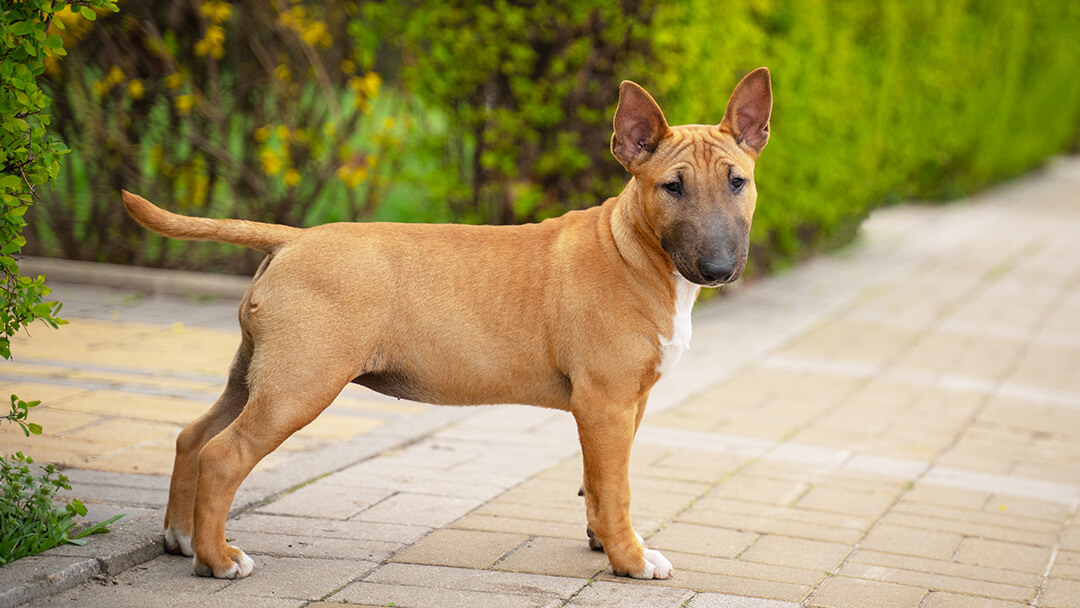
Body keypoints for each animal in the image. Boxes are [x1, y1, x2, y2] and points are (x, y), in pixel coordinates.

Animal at [122, 69, 773, 583]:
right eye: (672, 187)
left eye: (738, 181)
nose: (719, 269)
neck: (632, 250)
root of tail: (293, 239)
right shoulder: (605, 403)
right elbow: (617, 488)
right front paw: (633, 560)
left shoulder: (627, 404)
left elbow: (599, 483)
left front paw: (604, 543)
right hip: (299, 384)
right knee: (223, 454)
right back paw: (218, 560)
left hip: (256, 373)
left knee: (193, 436)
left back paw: (182, 539)